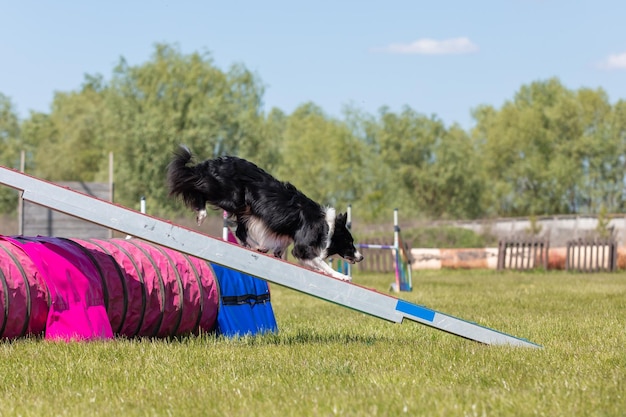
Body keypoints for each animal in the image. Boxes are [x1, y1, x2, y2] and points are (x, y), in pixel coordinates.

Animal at [166, 145, 360, 280]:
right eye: (349, 241)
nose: (361, 256)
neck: (326, 225)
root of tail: (213, 162)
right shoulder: (302, 245)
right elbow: (320, 261)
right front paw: (343, 276)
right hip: (233, 198)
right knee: (199, 189)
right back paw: (201, 213)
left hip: (244, 207)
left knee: (239, 229)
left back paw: (255, 245)